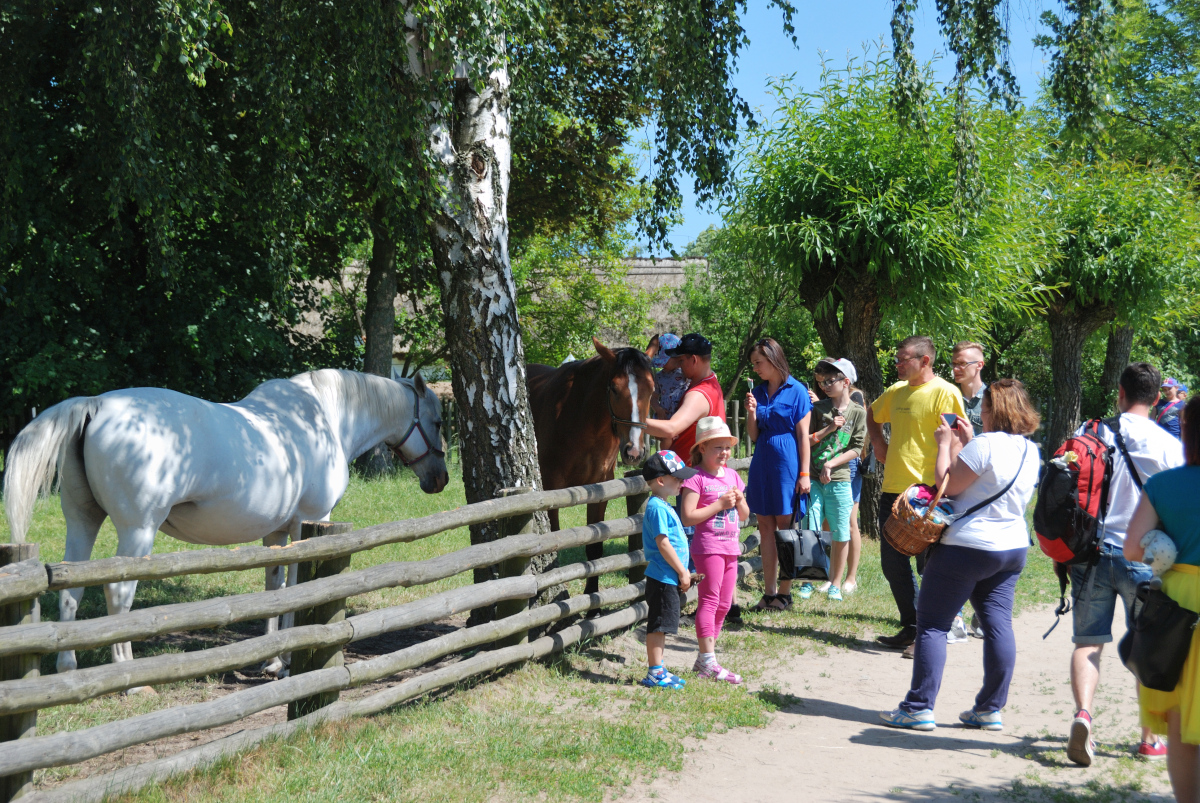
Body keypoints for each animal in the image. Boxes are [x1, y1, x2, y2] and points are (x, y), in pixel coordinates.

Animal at [2, 369, 451, 676]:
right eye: (438, 421)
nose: (440, 479)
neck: (325, 418)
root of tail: (94, 404)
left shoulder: (277, 532)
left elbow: (276, 590)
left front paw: (273, 661)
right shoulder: (310, 523)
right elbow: (297, 588)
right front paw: (286, 663)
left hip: (83, 522)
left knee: (71, 589)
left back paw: (68, 669)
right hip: (137, 530)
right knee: (118, 593)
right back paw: (130, 679)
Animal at [525, 336, 657, 592]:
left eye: (652, 388)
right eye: (614, 388)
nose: (634, 451)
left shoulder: (600, 490)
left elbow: (595, 546)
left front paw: (592, 597)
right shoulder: (551, 491)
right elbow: (554, 542)